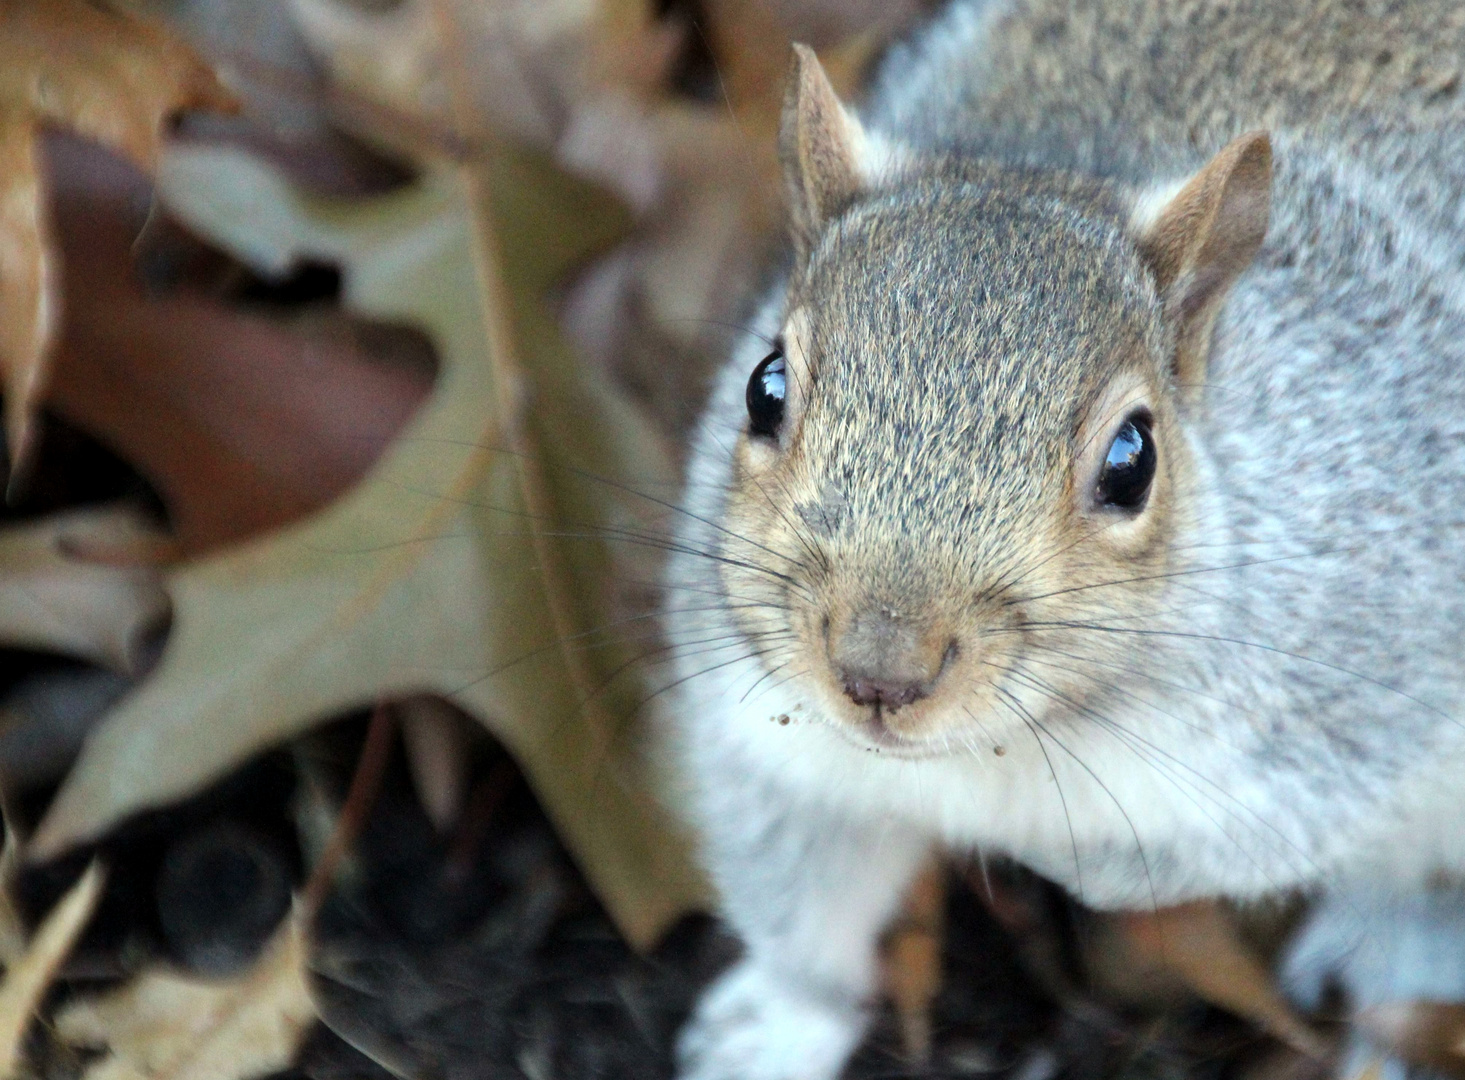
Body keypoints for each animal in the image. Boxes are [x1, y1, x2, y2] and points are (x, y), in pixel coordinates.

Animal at [659, 0, 1465, 1072]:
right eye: (763, 387)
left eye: (1132, 460)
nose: (879, 673)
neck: (1007, 739)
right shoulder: (767, 740)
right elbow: (803, 908)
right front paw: (774, 1029)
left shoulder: (1348, 700)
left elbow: (1224, 846)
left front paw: (1058, 855)